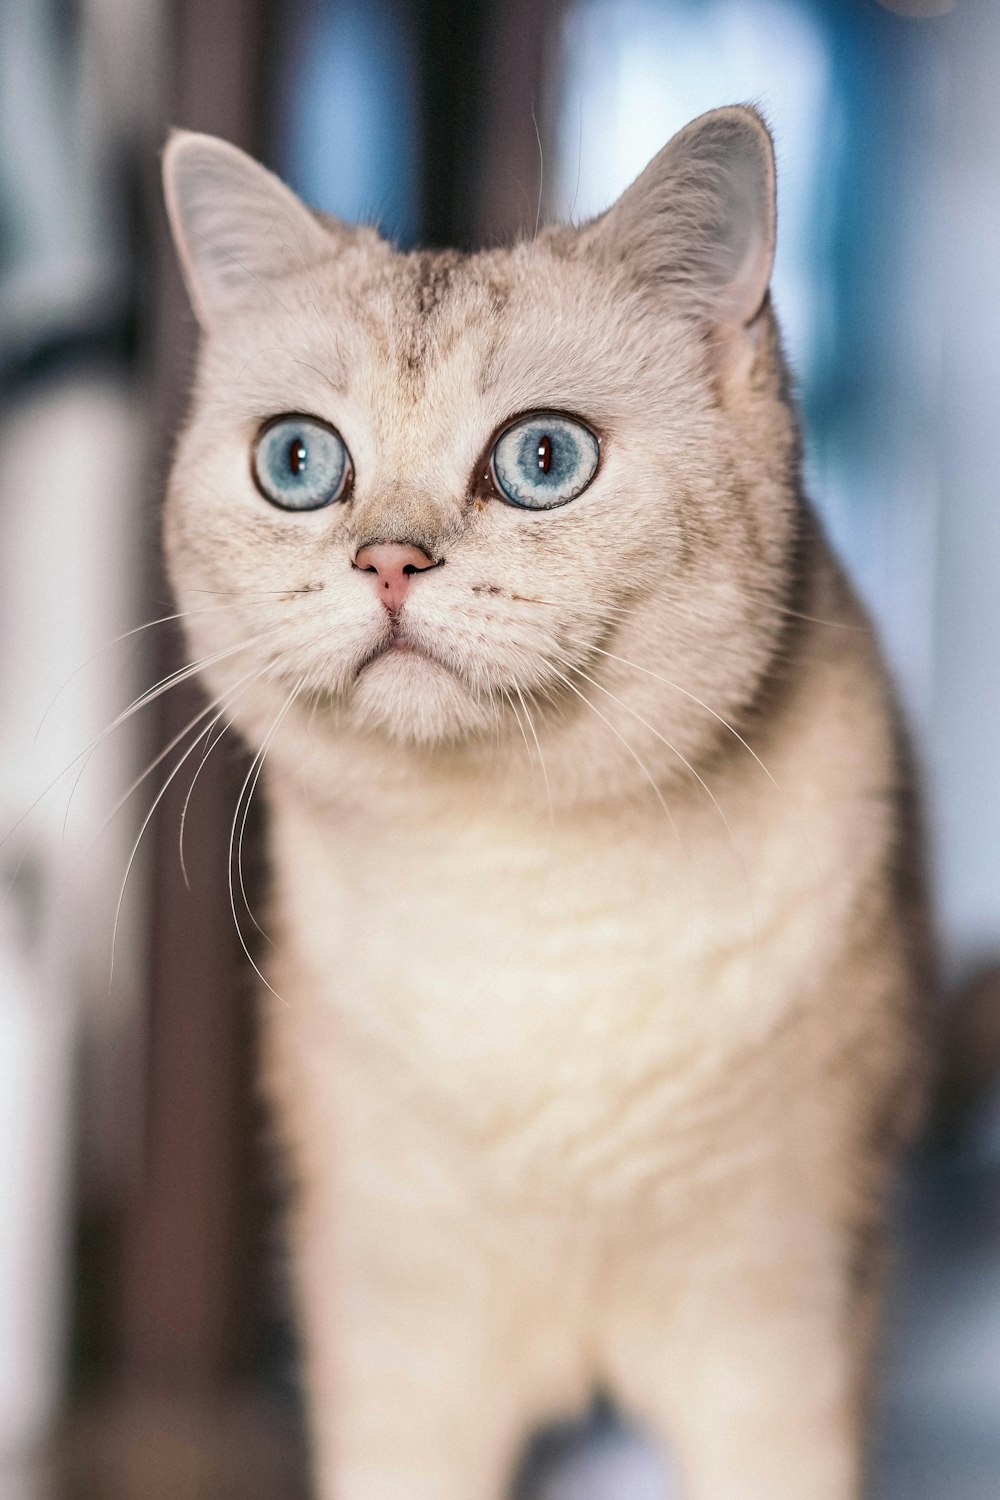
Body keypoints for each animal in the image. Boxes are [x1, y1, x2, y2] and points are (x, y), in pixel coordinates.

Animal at [160, 108, 935, 1500]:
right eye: (298, 461)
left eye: (543, 458)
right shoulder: (392, 1332)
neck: (517, 891)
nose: (389, 561)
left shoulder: (781, 1328)